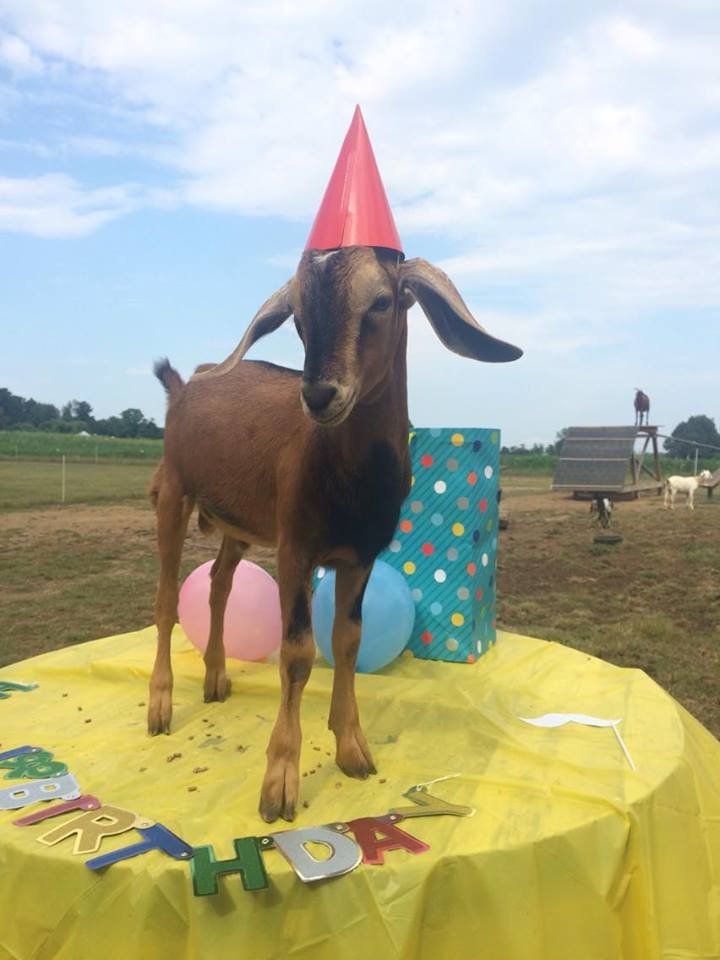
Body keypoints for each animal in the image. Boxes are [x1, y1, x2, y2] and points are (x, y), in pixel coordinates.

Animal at [148, 247, 522, 822]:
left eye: (383, 301)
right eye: (298, 318)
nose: (320, 394)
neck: (346, 477)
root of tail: (188, 385)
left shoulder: (360, 556)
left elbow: (348, 642)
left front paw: (352, 748)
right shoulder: (295, 549)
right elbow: (297, 653)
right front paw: (280, 780)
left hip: (239, 522)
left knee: (218, 586)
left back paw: (215, 678)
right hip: (174, 491)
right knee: (167, 599)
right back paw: (161, 706)